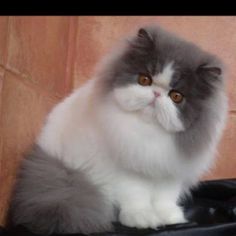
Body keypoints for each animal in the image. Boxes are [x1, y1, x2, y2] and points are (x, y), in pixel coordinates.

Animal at [8, 24, 228, 235]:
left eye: (176, 96)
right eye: (144, 80)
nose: (156, 94)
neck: (149, 134)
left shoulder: (170, 172)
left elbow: (164, 199)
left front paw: (171, 218)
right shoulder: (126, 172)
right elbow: (136, 197)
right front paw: (142, 219)